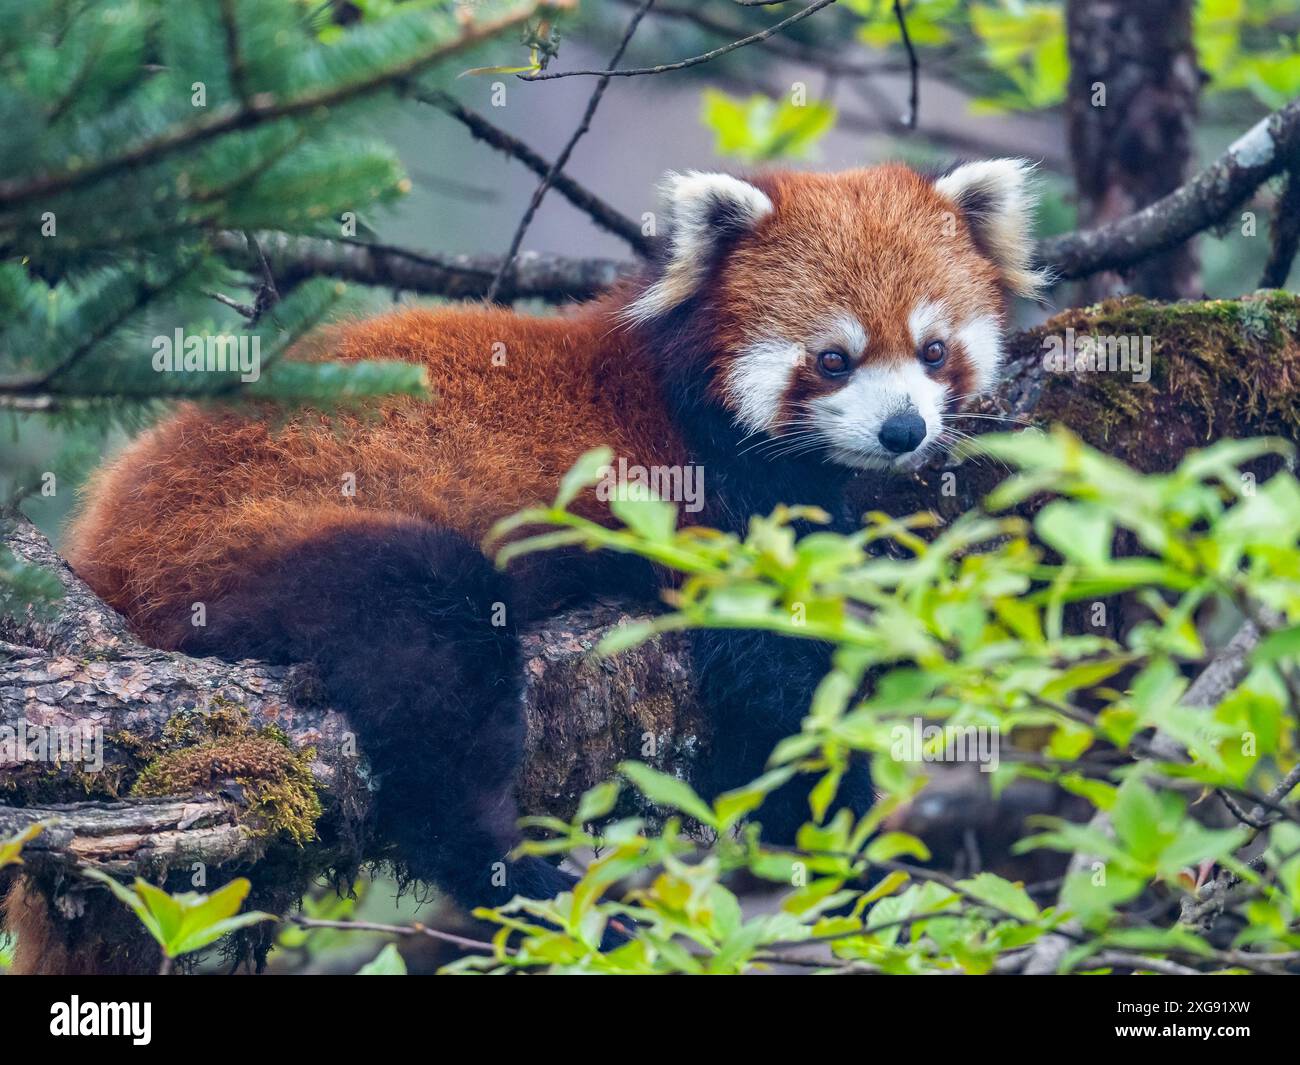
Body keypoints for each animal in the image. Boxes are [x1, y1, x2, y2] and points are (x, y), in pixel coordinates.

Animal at [59, 160, 1044, 919]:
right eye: (834, 359)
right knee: (435, 664)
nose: (902, 432)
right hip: (258, 544)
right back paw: (513, 876)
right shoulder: (699, 499)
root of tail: (105, 538)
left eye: (932, 351)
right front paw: (834, 829)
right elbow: (772, 674)